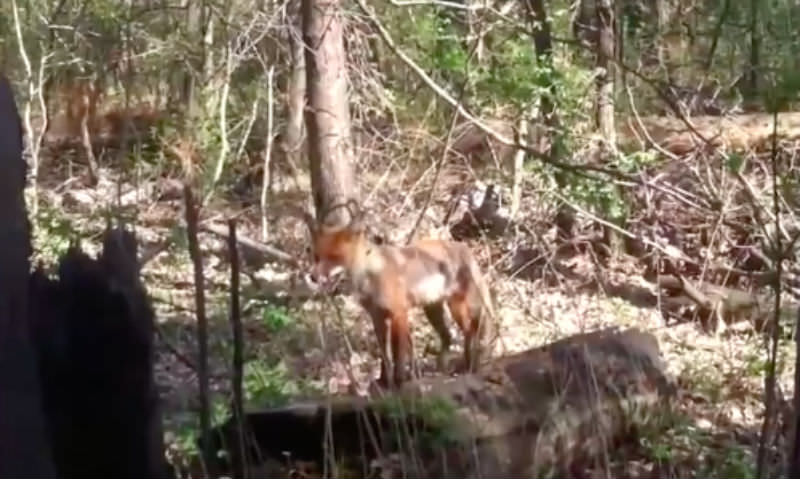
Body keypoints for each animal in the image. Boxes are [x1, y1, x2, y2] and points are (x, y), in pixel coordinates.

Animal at [292, 206, 494, 390]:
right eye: (316, 256)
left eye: (334, 257)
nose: (313, 277)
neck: (372, 276)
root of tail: (464, 247)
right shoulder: (378, 317)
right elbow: (384, 353)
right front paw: (383, 381)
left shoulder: (399, 314)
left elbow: (397, 353)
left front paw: (399, 381)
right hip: (433, 310)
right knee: (450, 337)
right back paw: (448, 366)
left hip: (458, 307)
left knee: (471, 332)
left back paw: (470, 365)